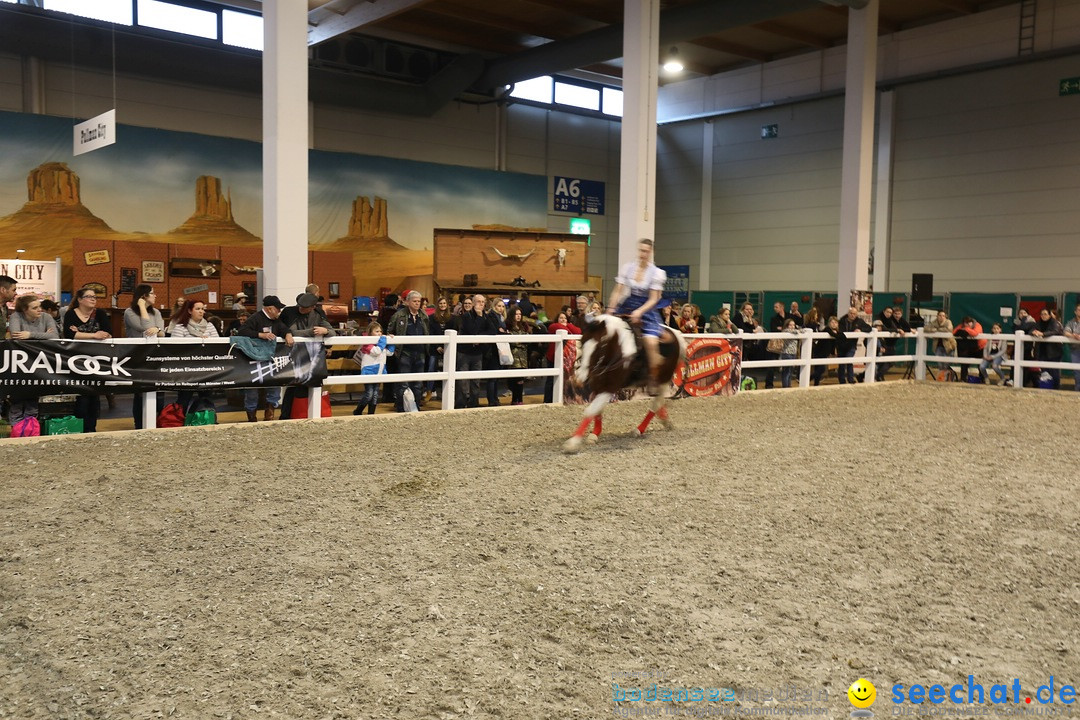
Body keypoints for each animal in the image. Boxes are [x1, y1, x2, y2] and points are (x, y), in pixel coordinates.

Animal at [561, 313, 686, 453]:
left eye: (601, 345)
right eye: (582, 342)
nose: (580, 377)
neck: (616, 349)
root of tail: (674, 333)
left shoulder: (610, 388)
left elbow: (591, 410)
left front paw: (573, 443)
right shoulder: (597, 385)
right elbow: (597, 410)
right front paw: (595, 433)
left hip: (663, 379)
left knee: (656, 403)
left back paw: (639, 429)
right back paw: (664, 420)